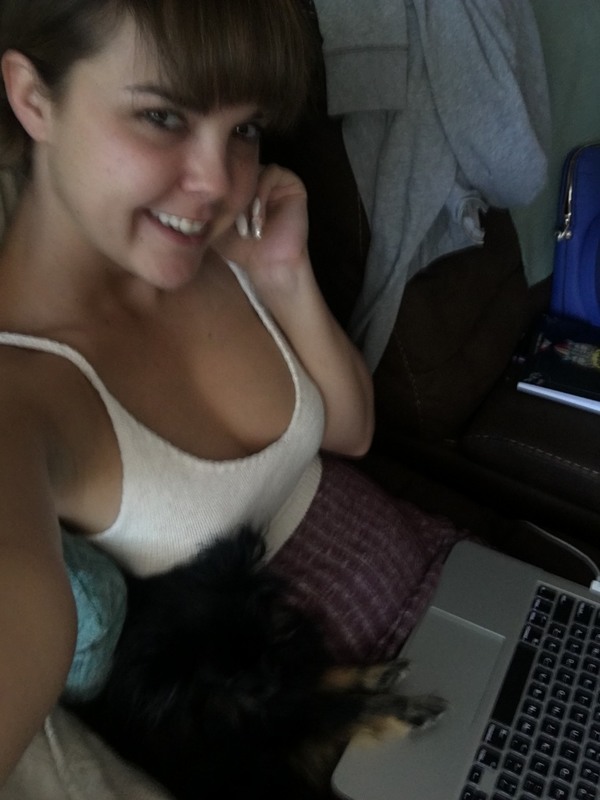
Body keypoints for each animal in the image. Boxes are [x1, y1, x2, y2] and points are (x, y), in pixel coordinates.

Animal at [69, 527, 445, 799]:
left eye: (266, 647)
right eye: (230, 680)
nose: (271, 682)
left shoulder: (290, 673)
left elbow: (325, 673)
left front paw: (381, 672)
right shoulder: (292, 736)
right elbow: (351, 708)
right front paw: (410, 708)